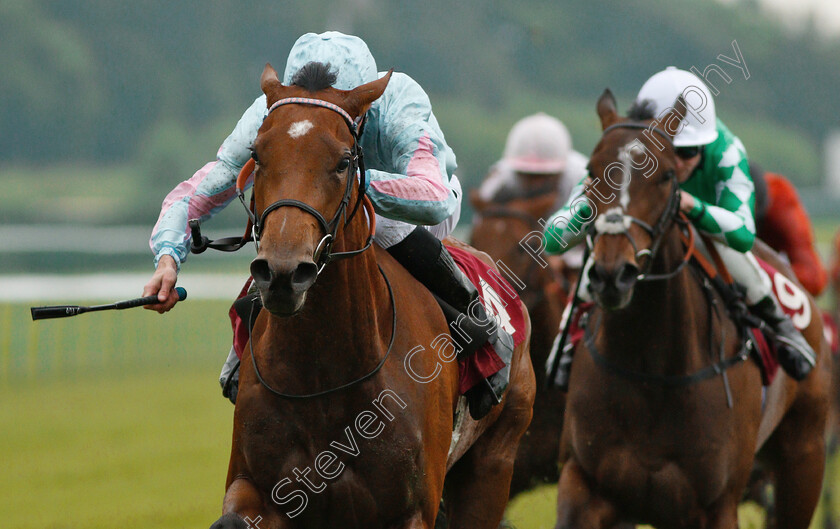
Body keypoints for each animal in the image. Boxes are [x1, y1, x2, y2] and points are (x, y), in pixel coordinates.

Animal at [212, 65, 540, 528]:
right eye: (257, 154)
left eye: (343, 161)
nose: (282, 273)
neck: (322, 375)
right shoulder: (260, 487)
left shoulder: (410, 508)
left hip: (494, 462)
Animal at [556, 91, 832, 528]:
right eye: (591, 171)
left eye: (666, 175)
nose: (612, 275)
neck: (652, 369)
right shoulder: (583, 485)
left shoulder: (716, 506)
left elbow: (736, 228)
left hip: (804, 457)